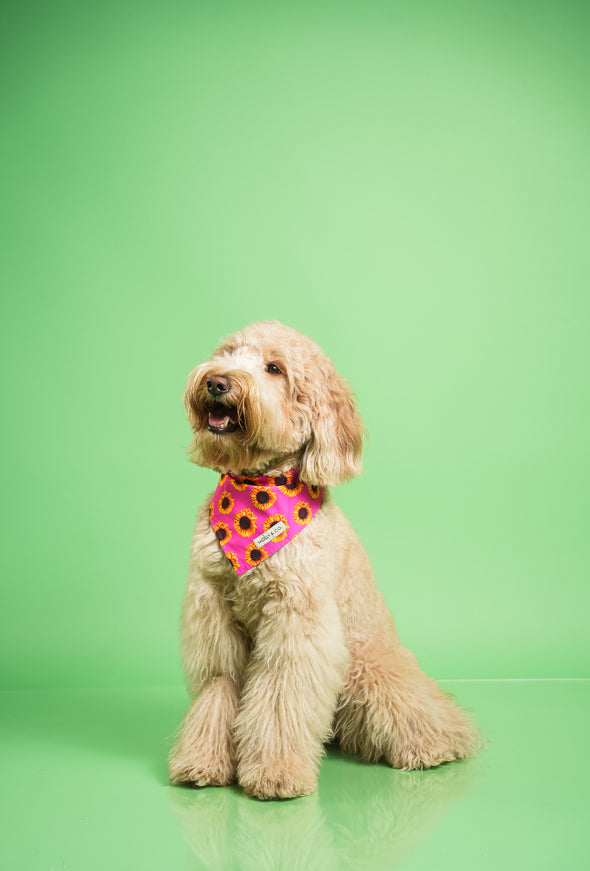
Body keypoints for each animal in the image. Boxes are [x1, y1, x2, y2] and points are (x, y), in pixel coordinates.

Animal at [170, 318, 480, 796]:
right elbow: (218, 689)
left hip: (366, 667)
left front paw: (275, 772)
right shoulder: (214, 616)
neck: (256, 497)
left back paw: (432, 746)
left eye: (274, 368)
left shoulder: (296, 620)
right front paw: (202, 762)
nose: (217, 382)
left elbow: (280, 695)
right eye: (227, 352)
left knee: (420, 712)